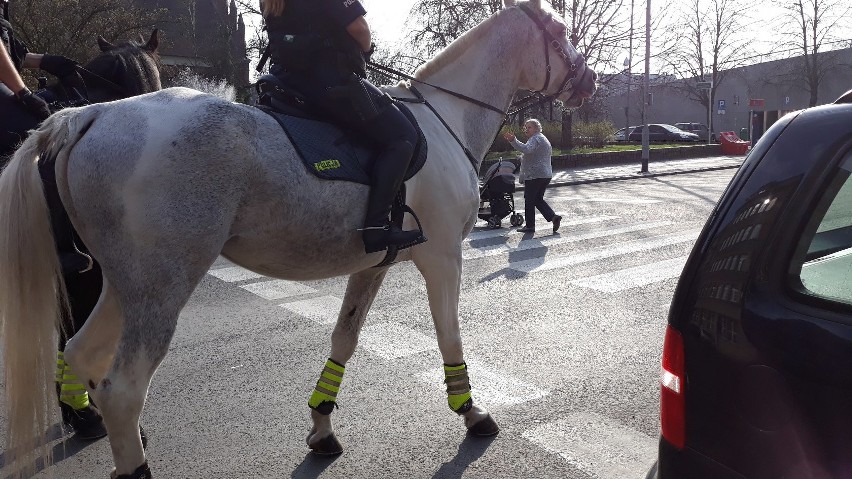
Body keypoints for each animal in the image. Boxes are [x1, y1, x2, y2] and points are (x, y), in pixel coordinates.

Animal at [0, 1, 596, 478]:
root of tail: (90, 113)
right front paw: (472, 412)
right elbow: (450, 337)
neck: (442, 116)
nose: (589, 82)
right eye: (560, 31)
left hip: (123, 284)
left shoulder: (373, 263)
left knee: (82, 353)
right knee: (123, 389)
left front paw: (322, 427)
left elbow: (344, 338)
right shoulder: (443, 258)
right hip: (162, 287)